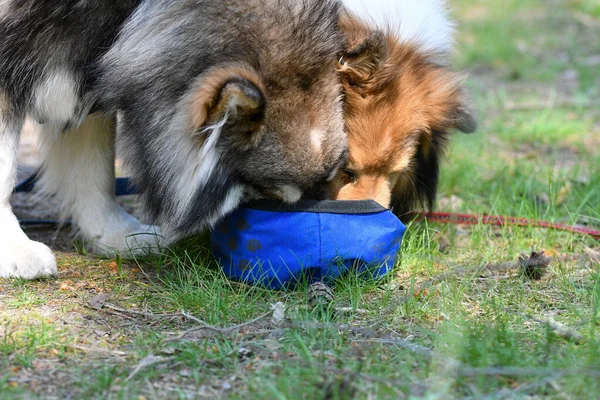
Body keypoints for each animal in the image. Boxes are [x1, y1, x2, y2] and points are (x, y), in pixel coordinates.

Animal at [1, 0, 346, 280]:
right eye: (271, 192)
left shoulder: (91, 69)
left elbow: (95, 169)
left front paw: (114, 234)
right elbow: (5, 174)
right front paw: (15, 251)